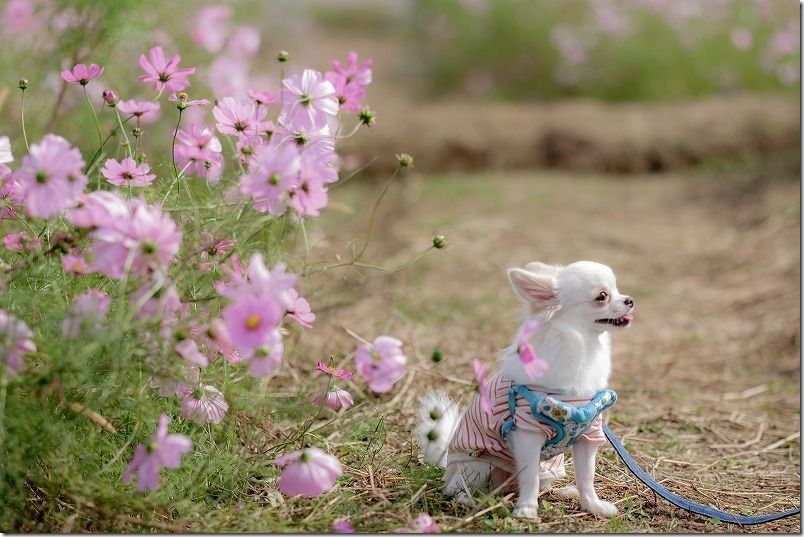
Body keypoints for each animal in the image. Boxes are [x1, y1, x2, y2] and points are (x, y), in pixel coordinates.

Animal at [414, 260, 636, 520]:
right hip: (478, 463)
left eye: (617, 289)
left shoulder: (589, 433)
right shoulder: (528, 432)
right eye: (602, 296)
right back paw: (471, 501)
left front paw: (593, 506)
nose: (630, 300)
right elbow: (529, 477)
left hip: (549, 468)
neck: (583, 347)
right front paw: (527, 510)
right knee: (455, 488)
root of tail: (447, 462)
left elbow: (586, 477)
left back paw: (562, 492)